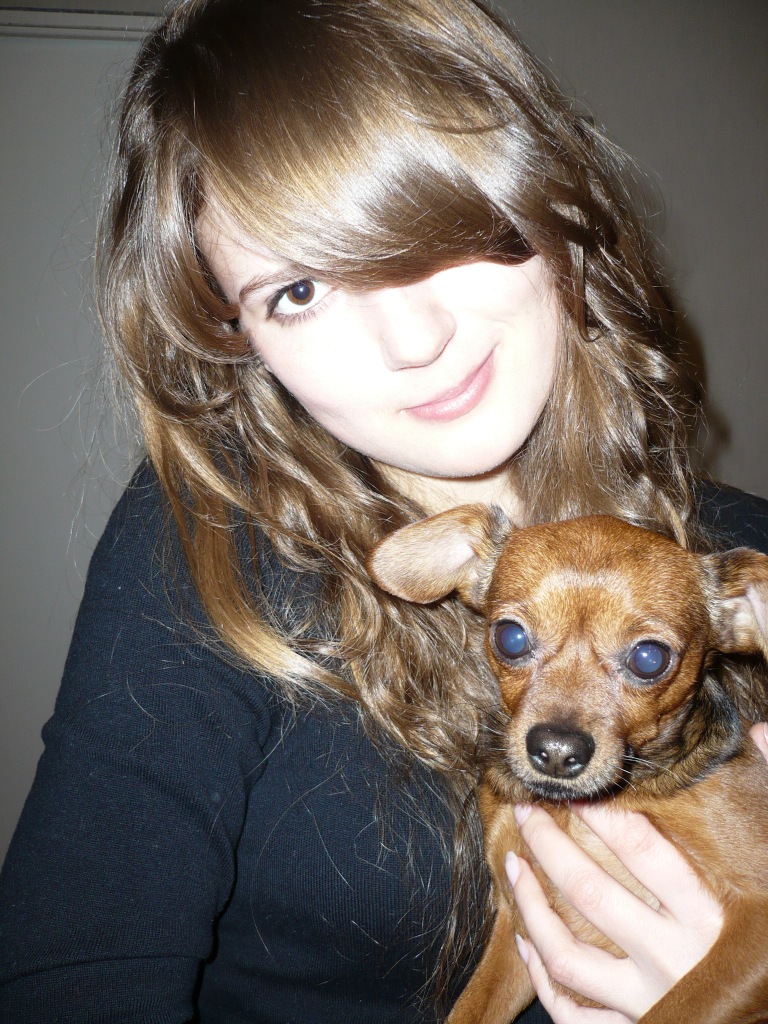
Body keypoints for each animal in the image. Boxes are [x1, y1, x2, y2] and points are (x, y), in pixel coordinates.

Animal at [367, 508, 768, 1024]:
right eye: (510, 638)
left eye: (649, 658)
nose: (556, 750)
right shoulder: (518, 929)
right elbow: (470, 1010)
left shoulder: (757, 925)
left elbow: (673, 1010)